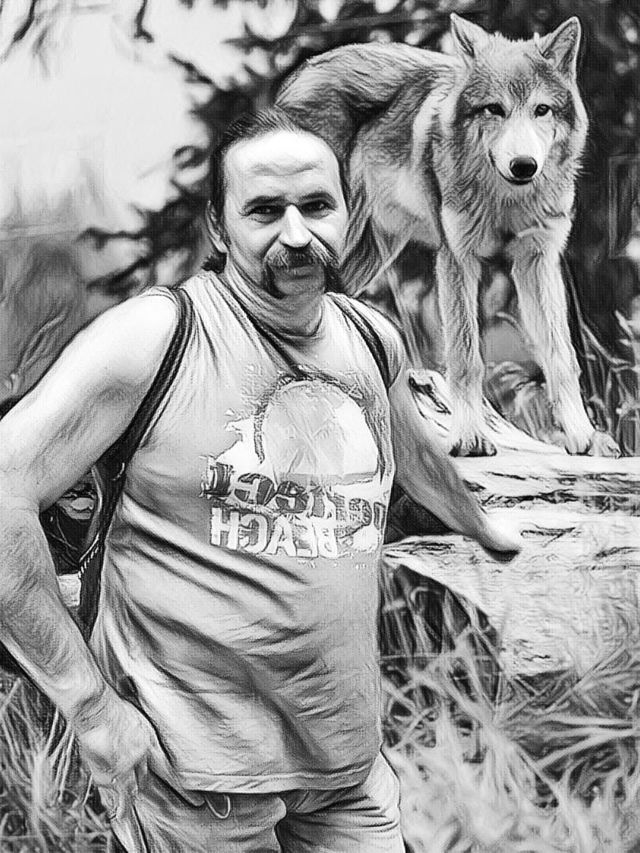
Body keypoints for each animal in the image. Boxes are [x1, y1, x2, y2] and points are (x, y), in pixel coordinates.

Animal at [277, 14, 620, 457]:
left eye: (541, 109)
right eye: (495, 109)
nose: (524, 165)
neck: (506, 199)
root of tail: (305, 69)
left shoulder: (537, 260)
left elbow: (561, 355)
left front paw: (583, 436)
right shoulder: (457, 258)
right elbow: (465, 356)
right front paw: (470, 436)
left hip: (370, 254)